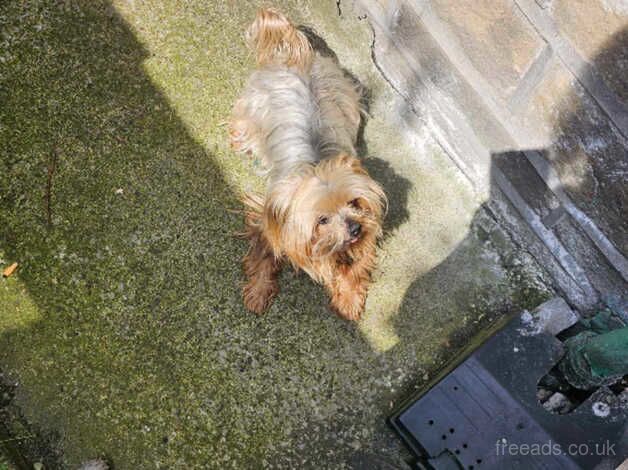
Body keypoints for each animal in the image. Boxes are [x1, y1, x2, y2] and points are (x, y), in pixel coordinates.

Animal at [231, 7, 388, 320]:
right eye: (322, 220)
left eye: (354, 202)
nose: (355, 229)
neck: (316, 164)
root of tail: (296, 57)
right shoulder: (270, 216)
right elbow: (264, 251)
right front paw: (258, 292)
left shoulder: (369, 224)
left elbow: (359, 261)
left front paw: (348, 298)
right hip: (251, 110)